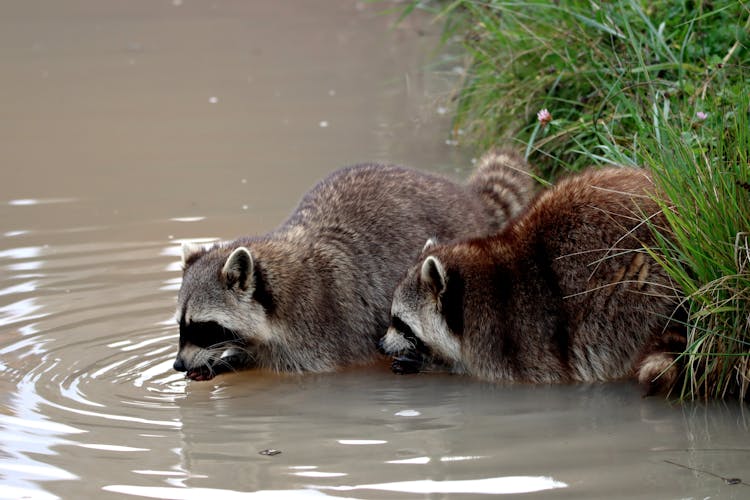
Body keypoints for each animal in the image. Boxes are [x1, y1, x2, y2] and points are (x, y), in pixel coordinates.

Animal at [172, 150, 536, 380]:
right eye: (181, 325)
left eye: (203, 327)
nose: (177, 365)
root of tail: (468, 200)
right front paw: (225, 361)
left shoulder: (319, 332)